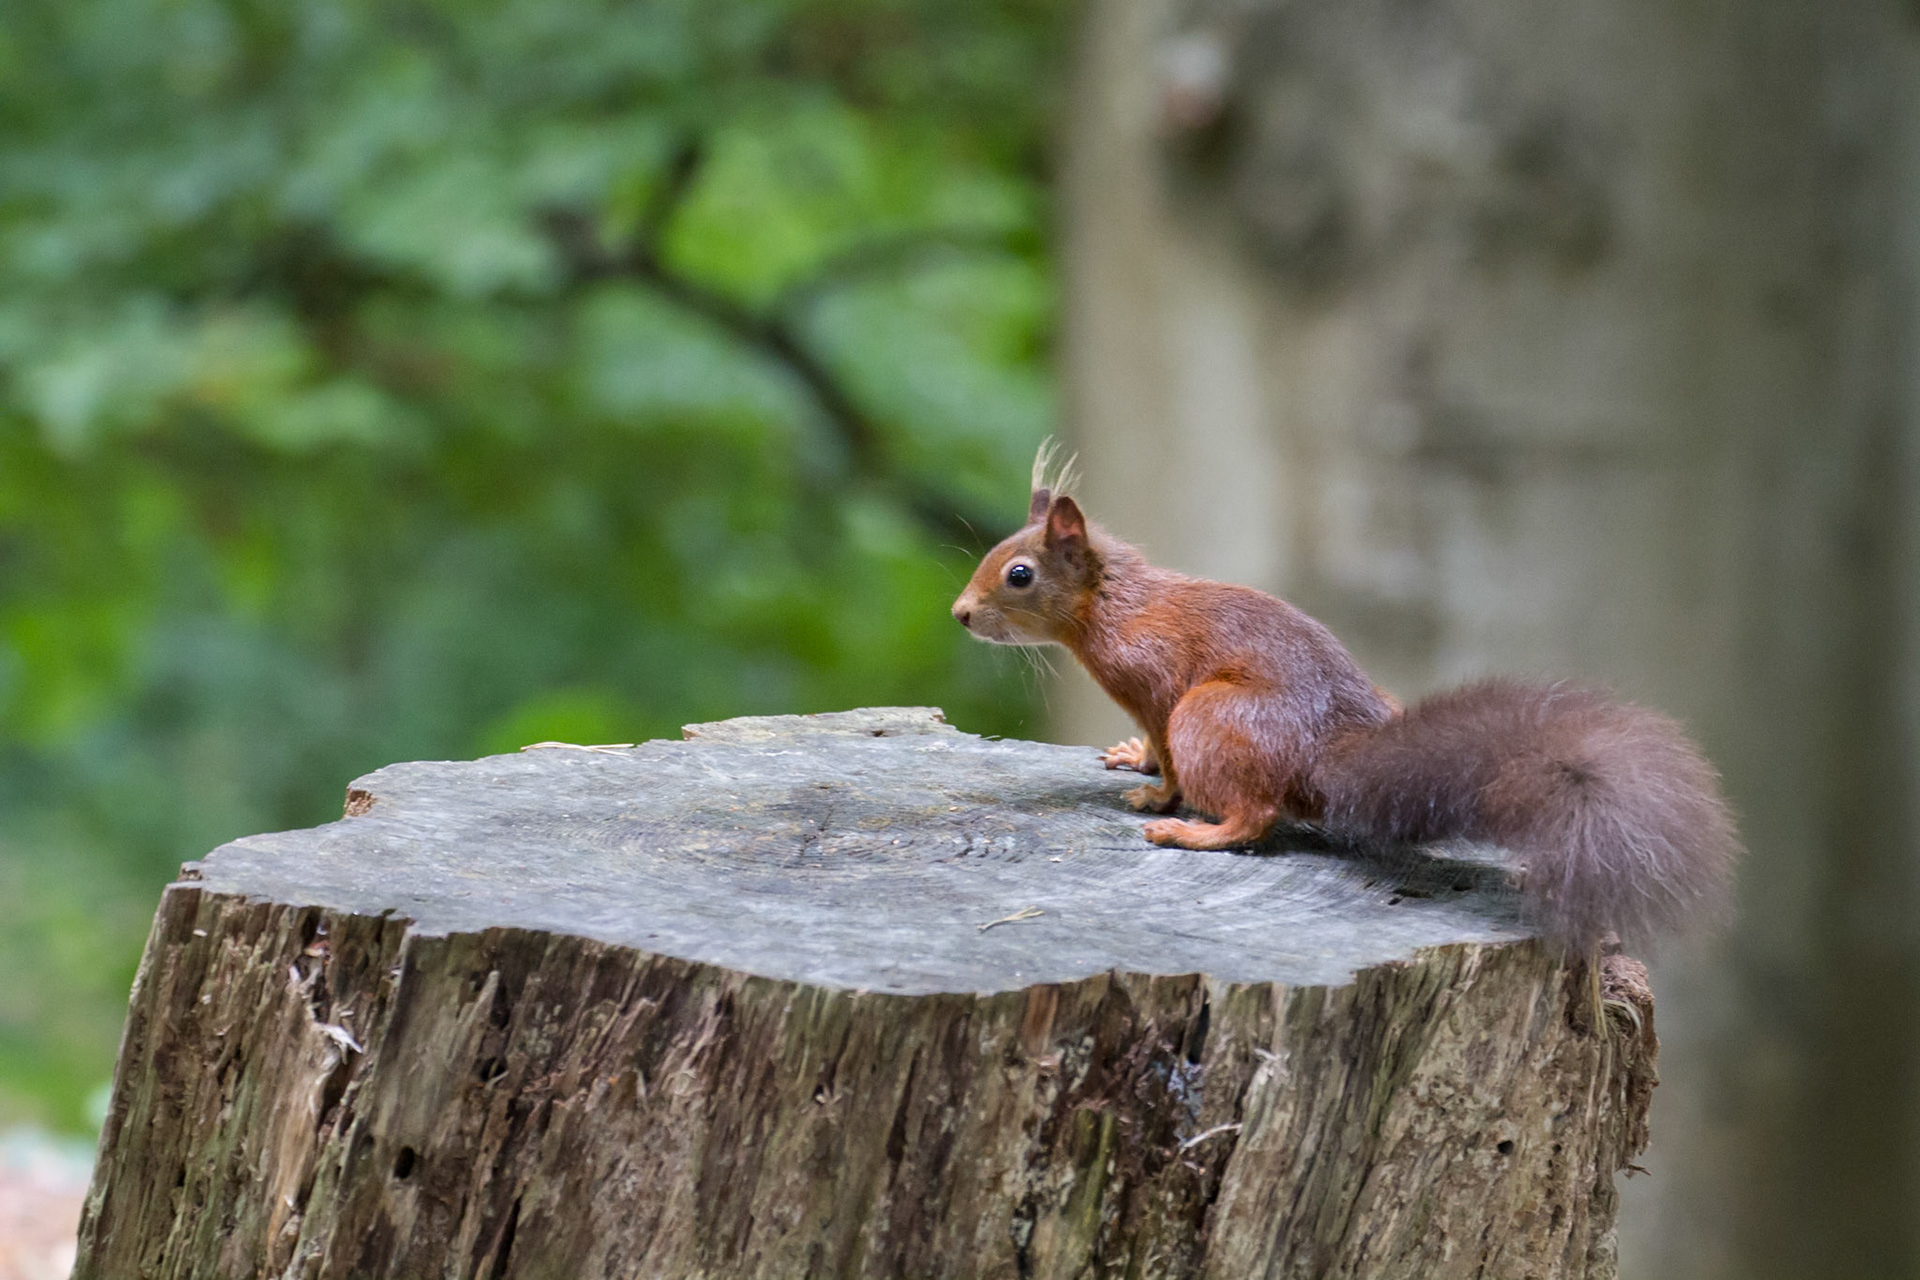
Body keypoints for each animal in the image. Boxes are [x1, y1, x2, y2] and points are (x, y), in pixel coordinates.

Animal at [950, 449, 1739, 953]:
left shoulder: (1157, 689)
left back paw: (1190, 832)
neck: (1115, 603)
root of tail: (1327, 758)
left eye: (1019, 573)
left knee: (1255, 817)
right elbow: (1148, 747)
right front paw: (1127, 758)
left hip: (1212, 715)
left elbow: (1168, 757)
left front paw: (1155, 796)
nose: (959, 615)